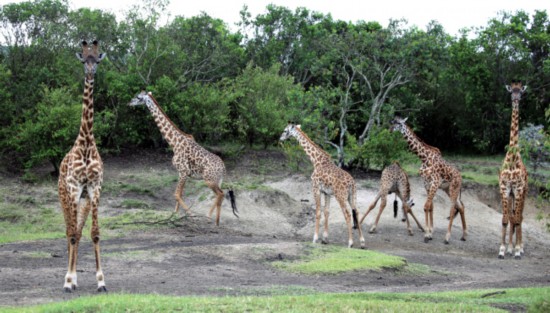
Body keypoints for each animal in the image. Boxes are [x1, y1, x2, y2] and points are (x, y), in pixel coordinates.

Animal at [132, 90, 242, 224]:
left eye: (138, 97)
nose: (129, 103)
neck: (174, 143)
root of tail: (224, 168)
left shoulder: (183, 172)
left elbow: (176, 194)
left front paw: (190, 214)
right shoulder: (182, 173)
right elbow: (180, 194)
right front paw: (174, 214)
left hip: (209, 180)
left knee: (220, 194)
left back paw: (210, 217)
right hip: (217, 180)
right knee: (220, 195)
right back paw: (214, 220)